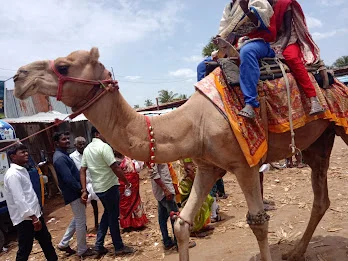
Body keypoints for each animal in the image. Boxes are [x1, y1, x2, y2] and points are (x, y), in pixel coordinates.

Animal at [12, 47, 348, 260]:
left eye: (63, 65)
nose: (18, 76)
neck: (192, 123)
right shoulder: (209, 165)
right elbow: (182, 223)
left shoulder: (244, 164)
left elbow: (258, 222)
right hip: (319, 141)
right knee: (321, 197)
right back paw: (295, 252)